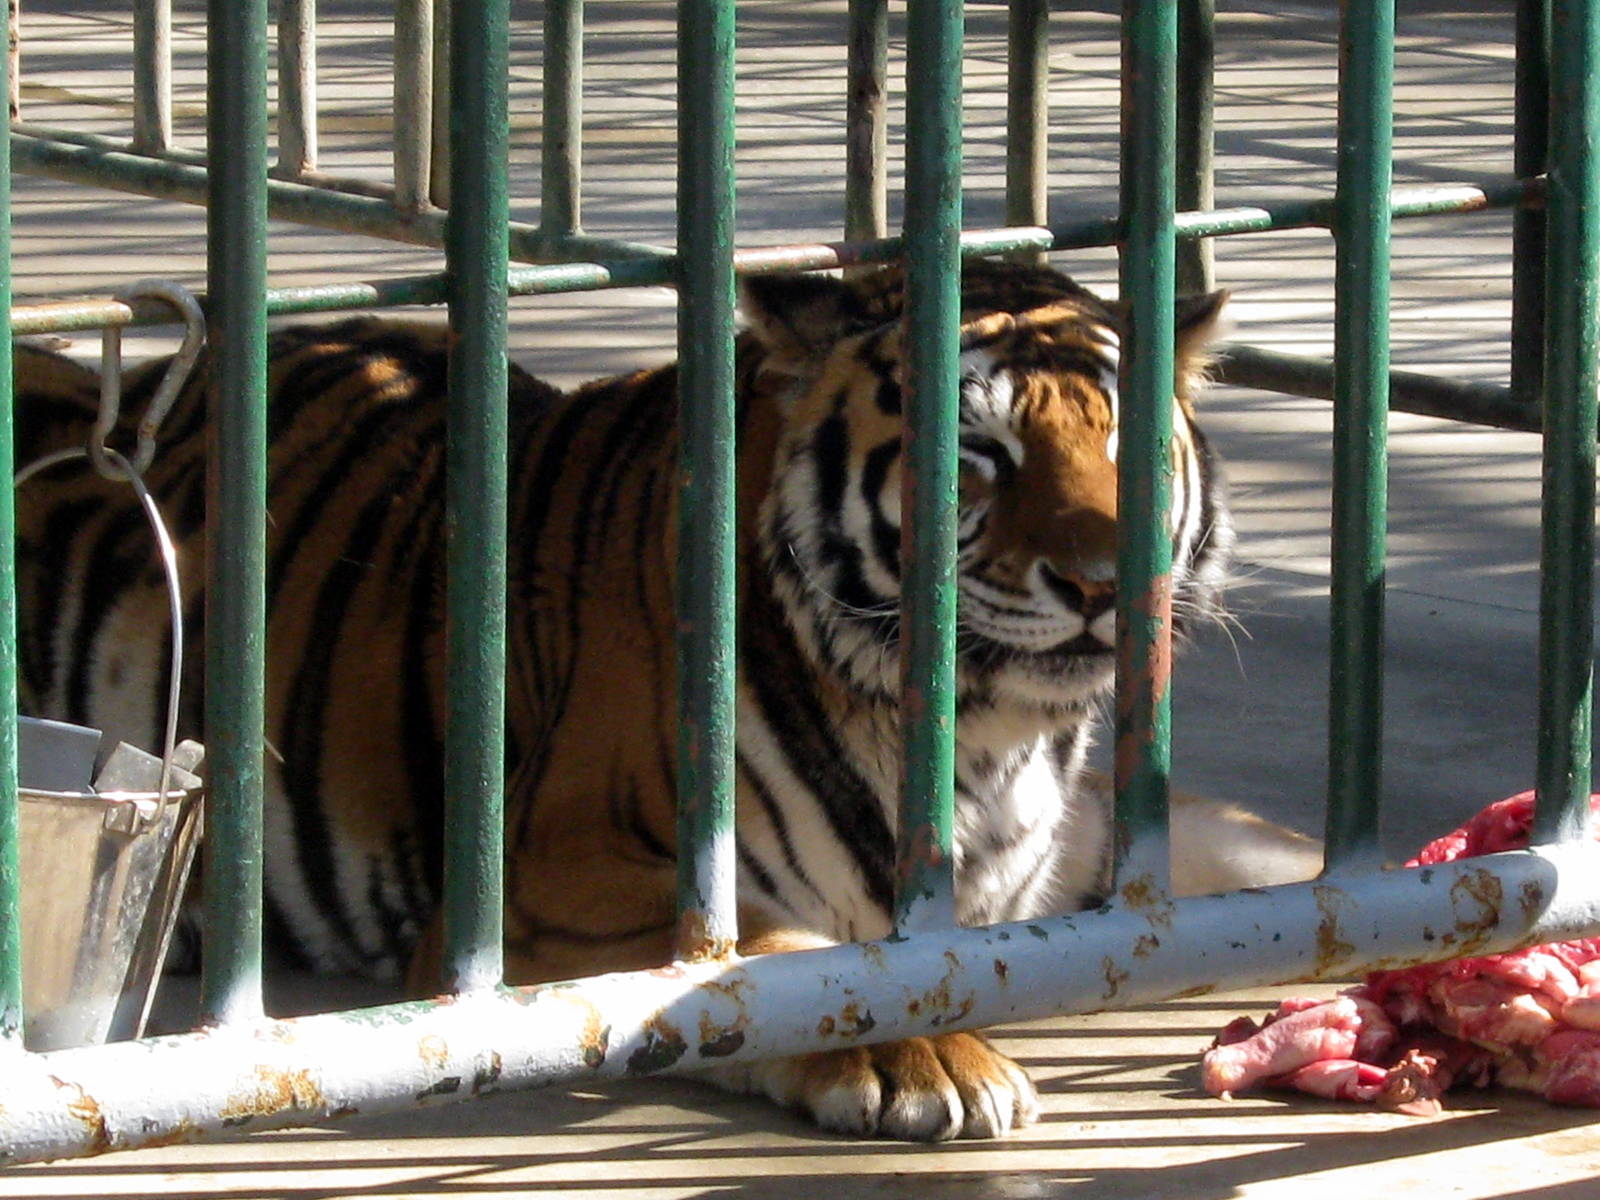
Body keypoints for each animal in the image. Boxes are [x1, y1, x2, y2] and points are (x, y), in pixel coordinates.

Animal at [13, 259, 1236, 1141]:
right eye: (977, 450)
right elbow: (778, 961)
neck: (988, 738)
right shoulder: (541, 891)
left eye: (1125, 443)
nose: (1104, 585)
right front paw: (921, 1052)